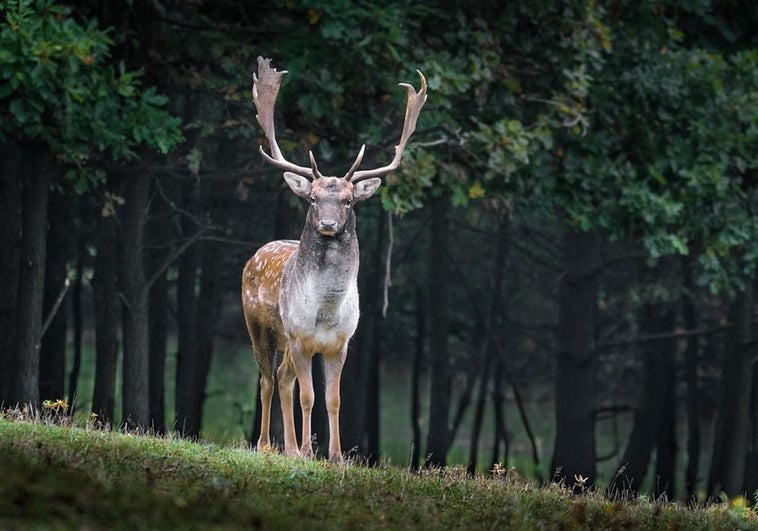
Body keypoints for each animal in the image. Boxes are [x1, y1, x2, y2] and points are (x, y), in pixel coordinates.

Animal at [242, 57, 428, 462]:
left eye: (348, 200)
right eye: (312, 198)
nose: (327, 224)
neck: (325, 312)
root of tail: (255, 255)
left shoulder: (341, 344)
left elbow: (333, 399)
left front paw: (336, 455)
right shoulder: (300, 338)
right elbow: (308, 397)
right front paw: (309, 452)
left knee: (282, 378)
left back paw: (289, 448)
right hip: (259, 326)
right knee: (266, 379)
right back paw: (267, 445)